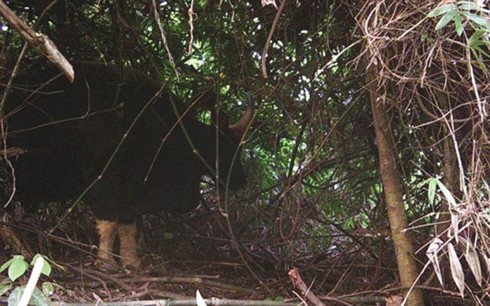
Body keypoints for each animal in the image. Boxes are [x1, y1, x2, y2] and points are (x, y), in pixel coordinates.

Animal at [0, 63, 253, 268]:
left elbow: (127, 228)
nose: (241, 179)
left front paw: (131, 262)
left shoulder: (133, 192)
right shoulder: (107, 183)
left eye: (239, 150)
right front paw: (106, 263)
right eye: (225, 150)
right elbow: (109, 225)